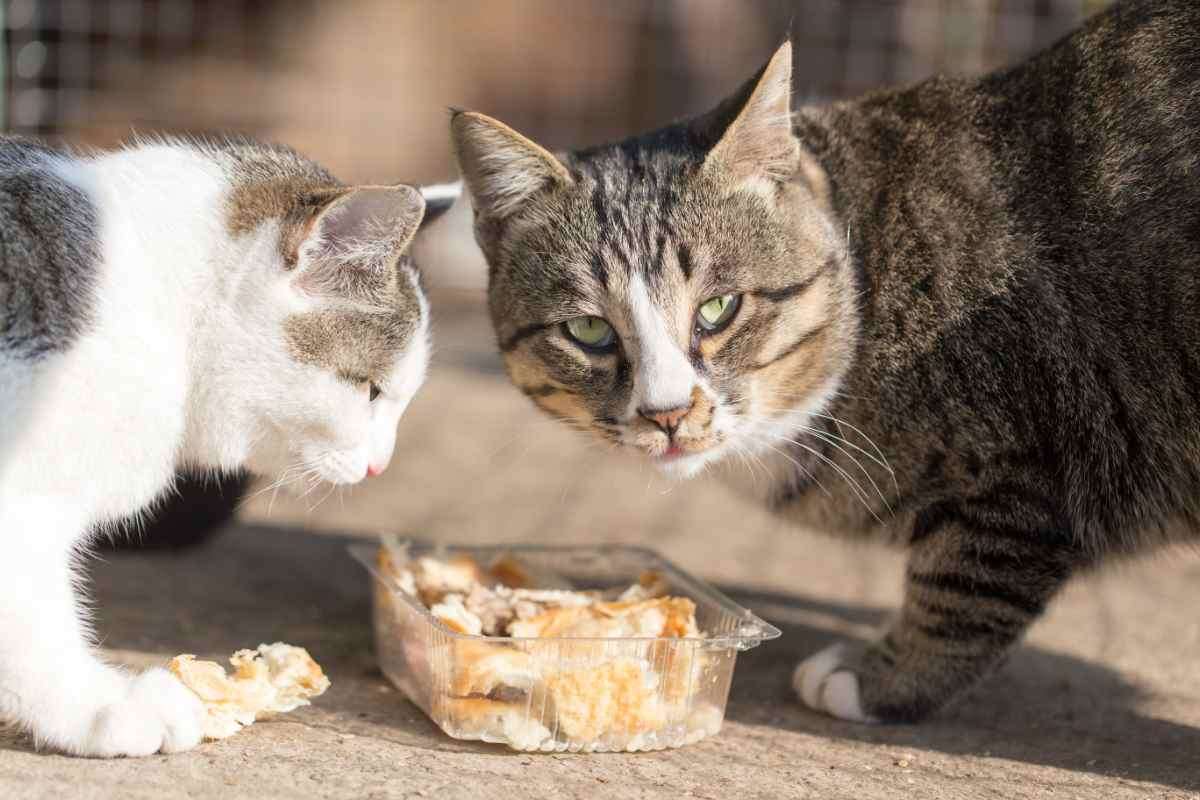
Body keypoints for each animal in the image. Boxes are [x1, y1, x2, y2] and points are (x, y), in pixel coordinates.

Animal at [444, 0, 1200, 724]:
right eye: (589, 330)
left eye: (718, 309)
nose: (668, 414)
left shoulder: (1024, 454)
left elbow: (964, 582)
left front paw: (881, 680)